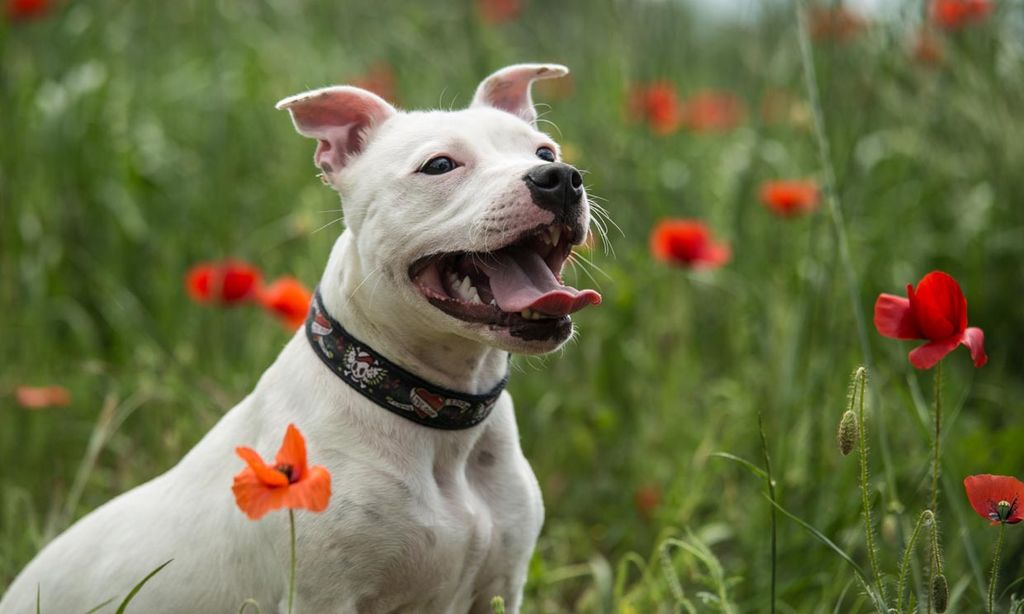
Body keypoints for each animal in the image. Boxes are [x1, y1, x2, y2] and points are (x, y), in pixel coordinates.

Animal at [2, 64, 598, 609]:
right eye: (439, 165)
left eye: (545, 151)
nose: (560, 178)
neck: (430, 411)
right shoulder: (323, 596)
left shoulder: (499, 586)